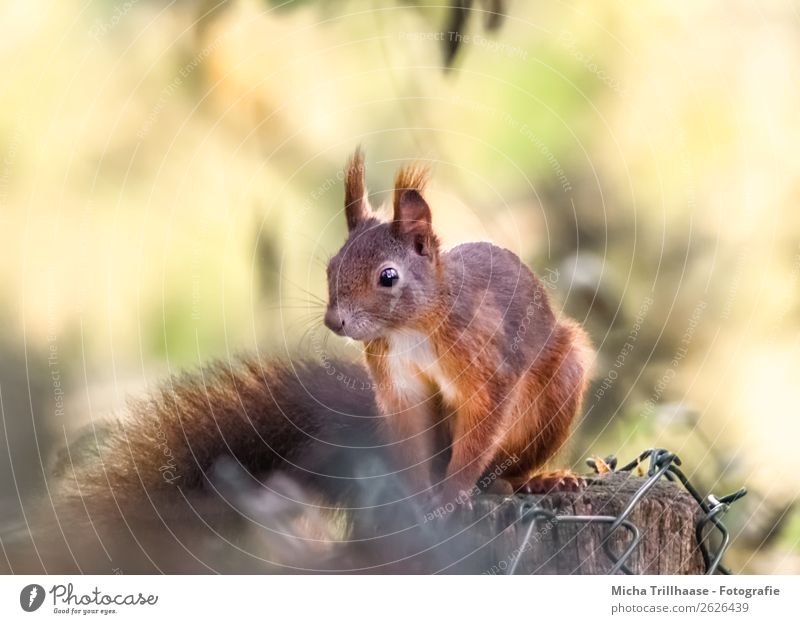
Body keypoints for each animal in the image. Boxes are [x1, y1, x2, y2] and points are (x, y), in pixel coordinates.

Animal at [324, 151, 592, 508]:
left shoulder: (486, 363)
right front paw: (418, 497)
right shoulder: (397, 380)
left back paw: (539, 481)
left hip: (557, 392)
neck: (411, 328)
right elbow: (412, 437)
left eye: (388, 276)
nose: (333, 321)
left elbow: (479, 431)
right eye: (331, 268)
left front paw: (451, 496)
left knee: (508, 468)